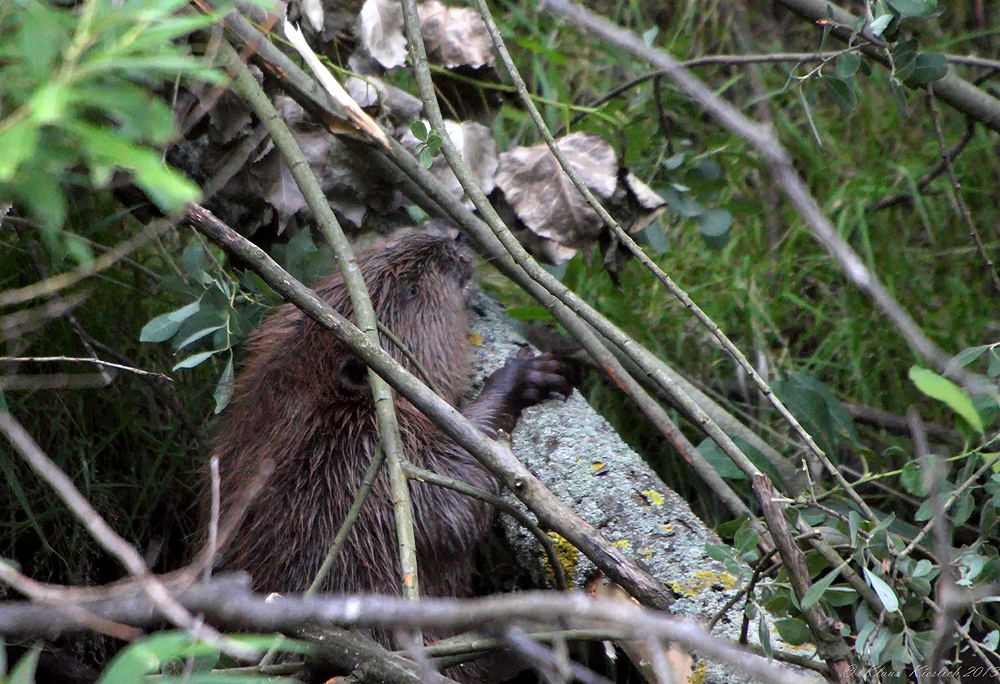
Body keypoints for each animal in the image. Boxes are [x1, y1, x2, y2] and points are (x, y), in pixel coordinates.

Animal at [209, 228, 572, 672]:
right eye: (412, 290)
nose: (453, 233)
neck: (314, 398)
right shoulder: (362, 456)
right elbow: (455, 495)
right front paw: (527, 375)